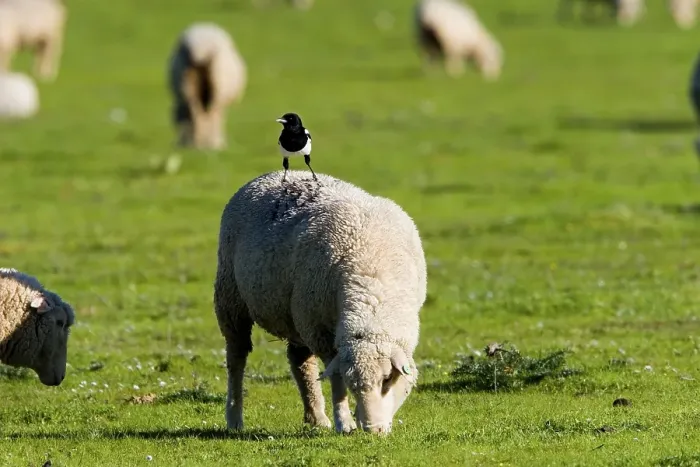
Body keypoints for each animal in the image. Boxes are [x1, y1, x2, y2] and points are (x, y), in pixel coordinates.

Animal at [214, 171, 427, 435]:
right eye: (353, 384)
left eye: (388, 379)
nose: (372, 429)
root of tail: (272, 174)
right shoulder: (320, 331)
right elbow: (335, 380)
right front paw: (344, 421)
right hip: (231, 297)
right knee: (237, 357)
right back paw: (234, 417)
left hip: (294, 314)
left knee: (299, 361)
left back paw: (316, 416)